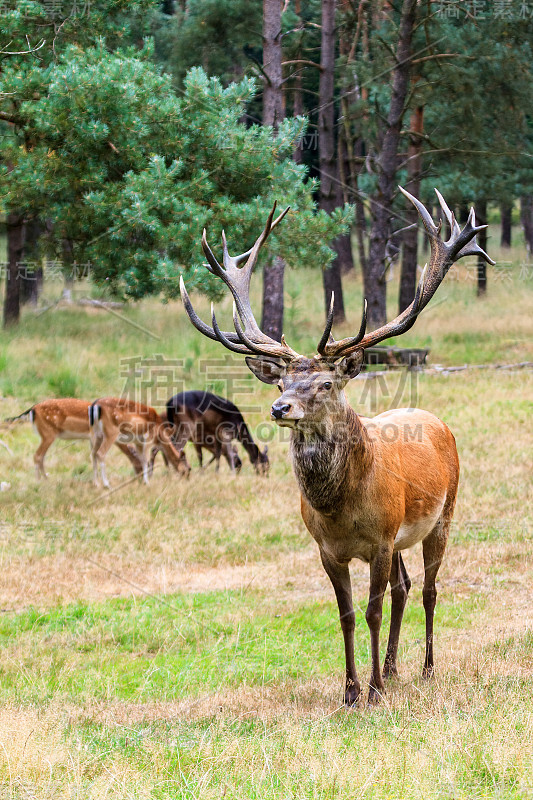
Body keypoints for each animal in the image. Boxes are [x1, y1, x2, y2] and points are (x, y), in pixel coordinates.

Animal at [180, 189, 494, 708]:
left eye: (325, 383)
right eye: (283, 381)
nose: (280, 407)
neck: (340, 508)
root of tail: (437, 421)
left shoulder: (382, 538)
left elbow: (372, 611)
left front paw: (374, 691)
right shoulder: (328, 549)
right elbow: (347, 615)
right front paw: (350, 690)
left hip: (444, 513)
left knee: (428, 589)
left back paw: (425, 669)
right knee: (405, 587)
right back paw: (395, 666)